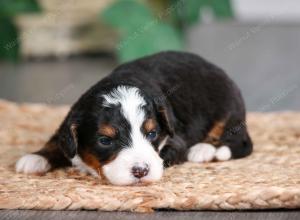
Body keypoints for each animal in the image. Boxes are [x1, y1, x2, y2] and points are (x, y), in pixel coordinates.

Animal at [15, 51, 252, 186]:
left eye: (152, 133)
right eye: (105, 140)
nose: (140, 171)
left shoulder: (176, 137)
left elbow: (163, 155)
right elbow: (58, 141)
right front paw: (35, 158)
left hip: (228, 112)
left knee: (241, 143)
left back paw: (205, 150)